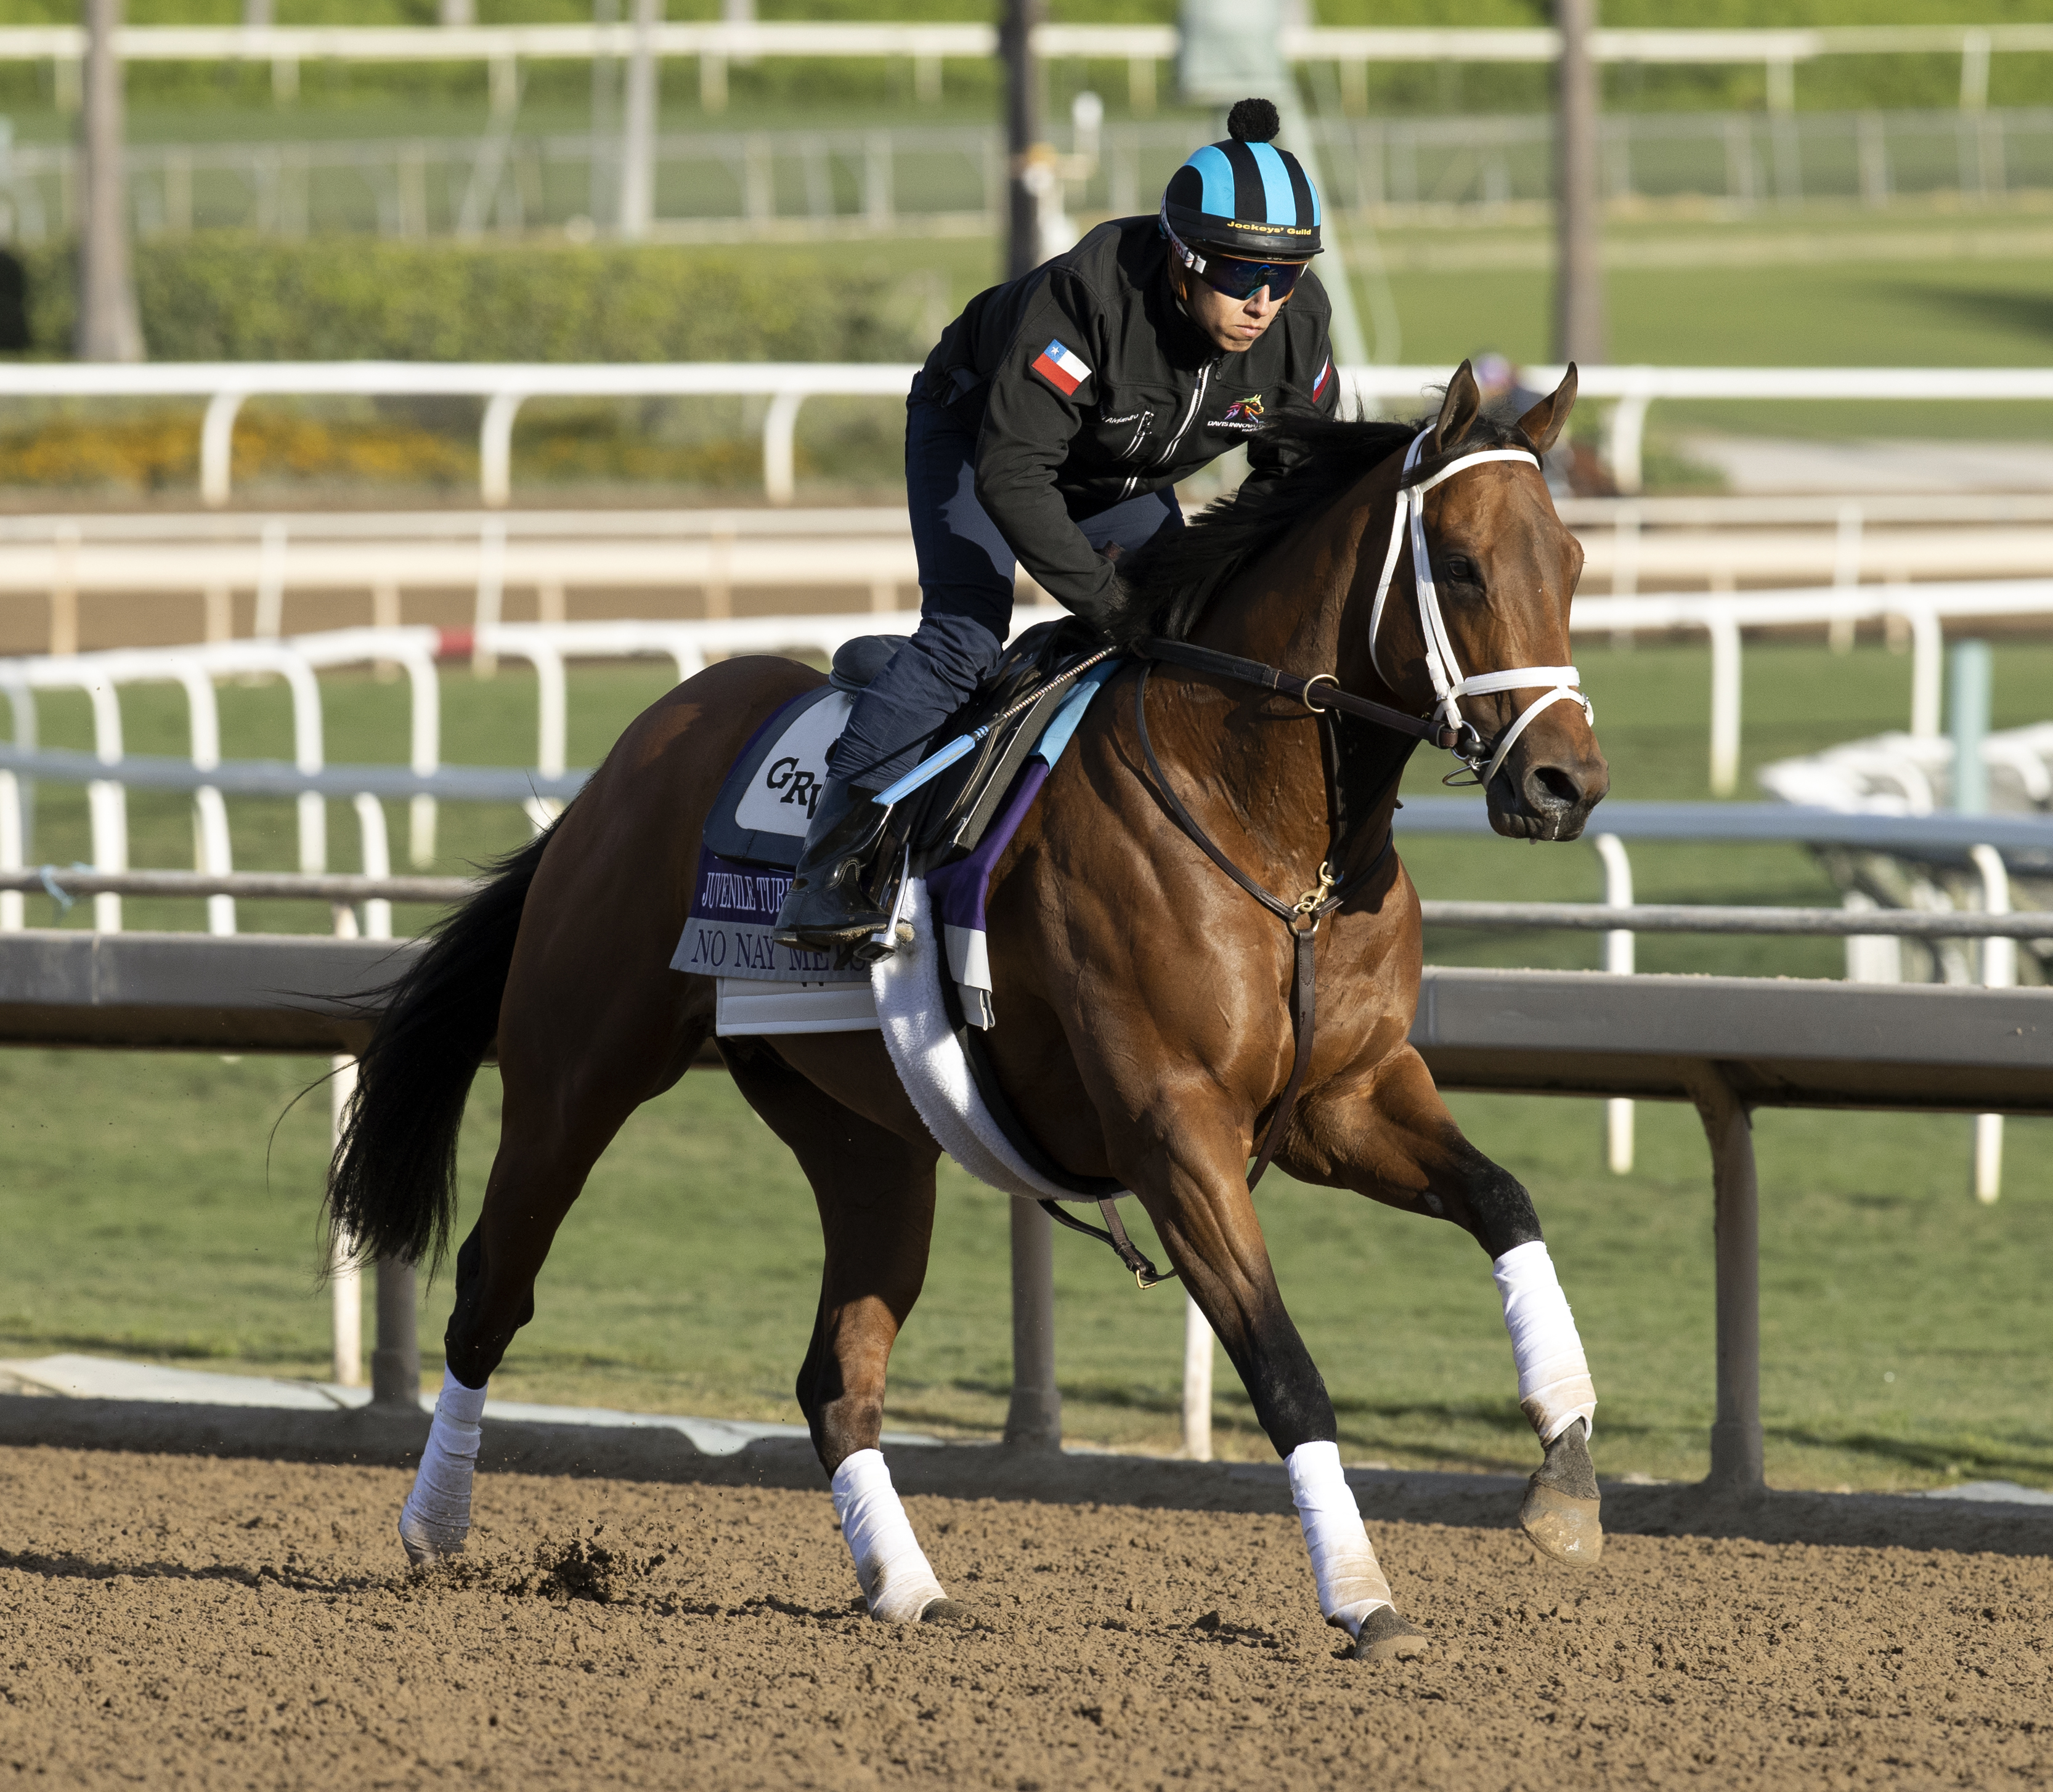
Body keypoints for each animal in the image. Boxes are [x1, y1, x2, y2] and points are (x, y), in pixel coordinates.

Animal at [324, 359, 1601, 1666]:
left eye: (1569, 560)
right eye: (1460, 565)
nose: (1564, 782)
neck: (1266, 825)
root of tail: (632, 754)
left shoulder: (1340, 1097)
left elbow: (1503, 1199)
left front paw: (1563, 1464)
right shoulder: (1172, 1127)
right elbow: (1282, 1362)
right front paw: (1359, 1591)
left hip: (868, 1137)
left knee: (836, 1373)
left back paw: (906, 1584)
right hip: (575, 1071)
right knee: (491, 1286)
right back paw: (434, 1522)